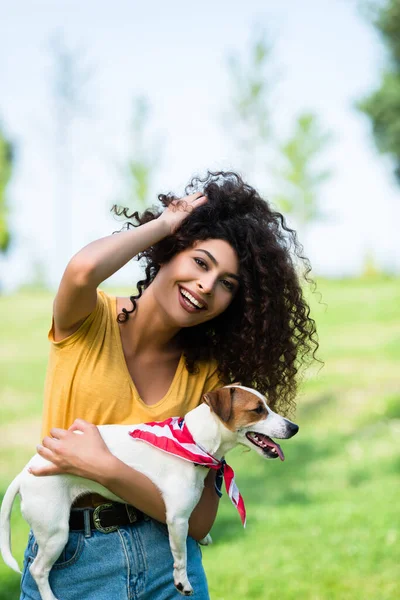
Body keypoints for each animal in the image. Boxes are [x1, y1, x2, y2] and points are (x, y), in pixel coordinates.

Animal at [0, 382, 298, 596]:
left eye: (266, 405)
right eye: (258, 409)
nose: (294, 427)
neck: (192, 439)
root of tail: (24, 473)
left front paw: (203, 536)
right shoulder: (176, 517)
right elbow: (180, 554)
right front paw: (181, 581)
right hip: (55, 532)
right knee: (38, 570)